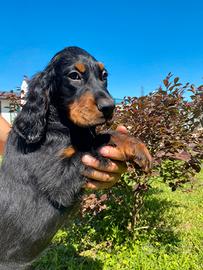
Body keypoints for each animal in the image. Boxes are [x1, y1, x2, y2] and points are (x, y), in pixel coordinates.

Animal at [0, 47, 151, 268]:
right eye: (74, 76)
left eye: (104, 75)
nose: (109, 107)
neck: (60, 125)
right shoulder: (57, 178)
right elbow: (94, 144)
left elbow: (104, 134)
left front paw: (136, 145)